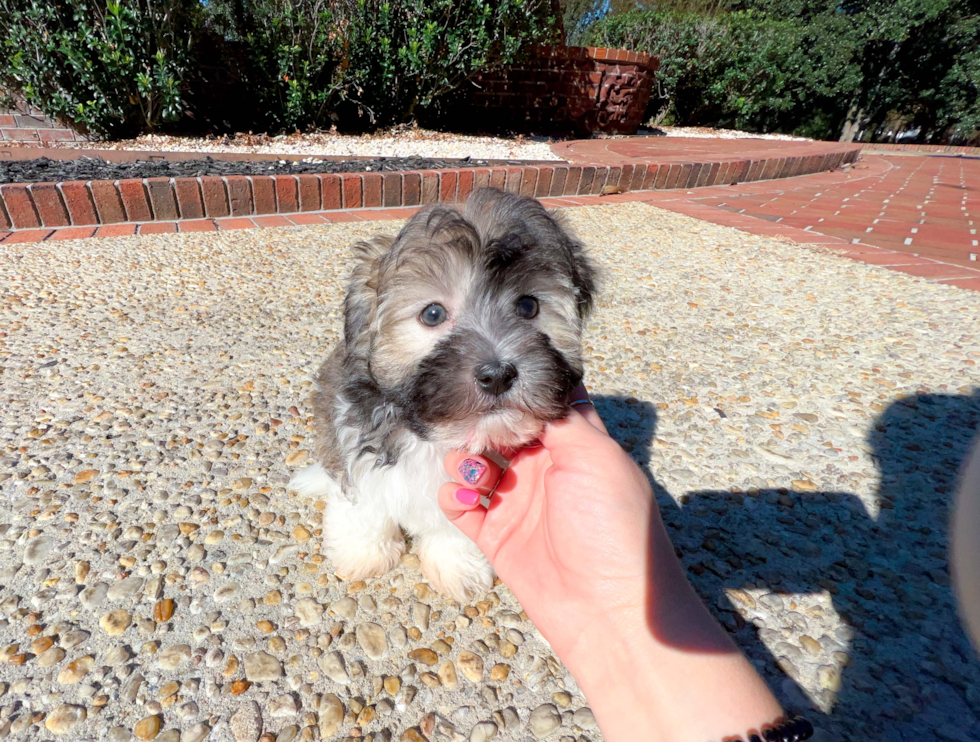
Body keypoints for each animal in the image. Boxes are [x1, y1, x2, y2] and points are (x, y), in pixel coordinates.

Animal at [290, 187, 596, 604]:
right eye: (433, 314)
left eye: (528, 306)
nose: (497, 375)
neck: (429, 436)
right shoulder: (354, 448)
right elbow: (365, 509)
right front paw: (364, 553)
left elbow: (454, 528)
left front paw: (457, 567)